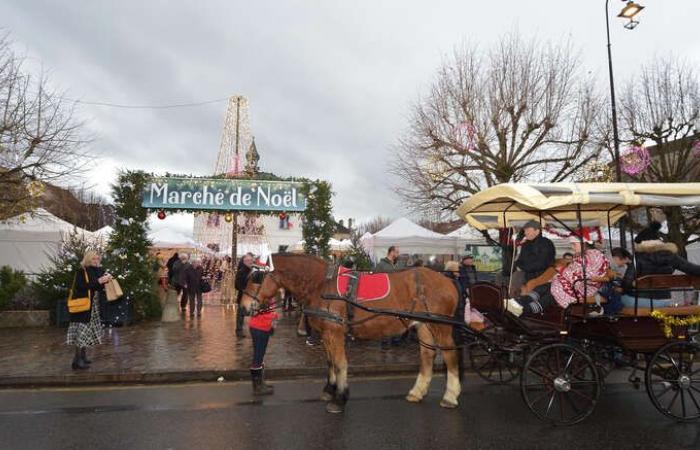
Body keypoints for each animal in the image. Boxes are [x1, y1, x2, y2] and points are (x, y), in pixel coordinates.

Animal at [238, 253, 462, 412]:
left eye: (256, 277)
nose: (243, 307)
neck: (321, 285)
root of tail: (448, 280)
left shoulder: (334, 332)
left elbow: (340, 364)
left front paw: (340, 398)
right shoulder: (326, 334)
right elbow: (330, 362)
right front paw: (330, 390)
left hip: (441, 326)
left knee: (450, 355)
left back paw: (450, 396)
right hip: (423, 326)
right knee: (427, 355)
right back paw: (417, 392)